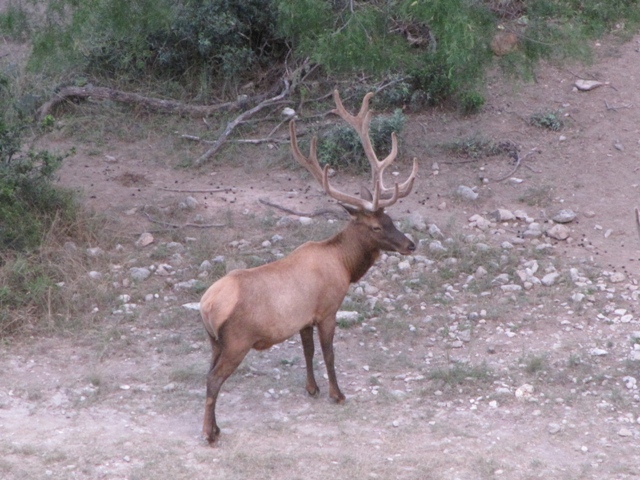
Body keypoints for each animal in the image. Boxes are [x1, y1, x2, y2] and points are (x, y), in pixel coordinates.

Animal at [201, 90, 420, 446]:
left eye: (391, 219)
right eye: (376, 227)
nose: (410, 245)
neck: (344, 266)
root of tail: (206, 307)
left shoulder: (303, 319)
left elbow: (307, 351)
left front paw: (312, 388)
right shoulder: (327, 309)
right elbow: (329, 353)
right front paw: (337, 393)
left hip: (214, 342)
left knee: (208, 374)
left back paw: (216, 427)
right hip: (235, 341)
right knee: (214, 380)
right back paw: (210, 433)